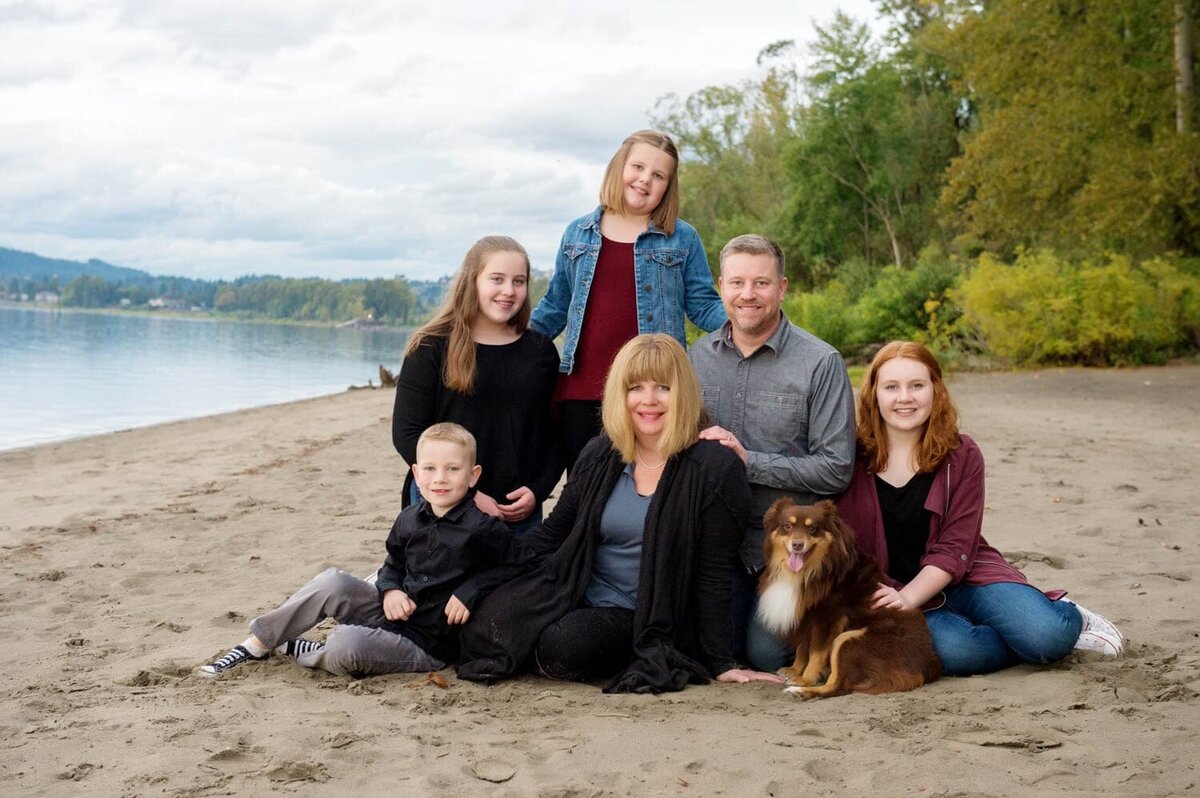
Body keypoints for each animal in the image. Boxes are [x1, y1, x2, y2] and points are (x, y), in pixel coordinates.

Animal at [753, 499, 940, 696]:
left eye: (813, 529)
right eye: (787, 526)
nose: (797, 544)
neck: (810, 571)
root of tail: (927, 666)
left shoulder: (826, 619)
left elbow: (815, 653)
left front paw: (805, 678)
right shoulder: (806, 617)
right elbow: (803, 647)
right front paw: (795, 670)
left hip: (848, 640)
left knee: (838, 686)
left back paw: (800, 691)